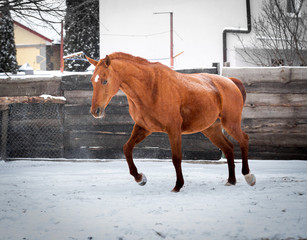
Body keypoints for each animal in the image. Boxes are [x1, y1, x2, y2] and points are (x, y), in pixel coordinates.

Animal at [85, 52, 256, 191]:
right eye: (93, 81)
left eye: (105, 81)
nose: (95, 111)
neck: (150, 87)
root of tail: (231, 82)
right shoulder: (144, 127)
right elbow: (127, 148)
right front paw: (140, 178)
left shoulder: (173, 129)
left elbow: (176, 158)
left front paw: (178, 186)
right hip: (211, 129)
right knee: (228, 148)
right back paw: (231, 180)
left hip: (230, 123)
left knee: (244, 140)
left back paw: (248, 176)